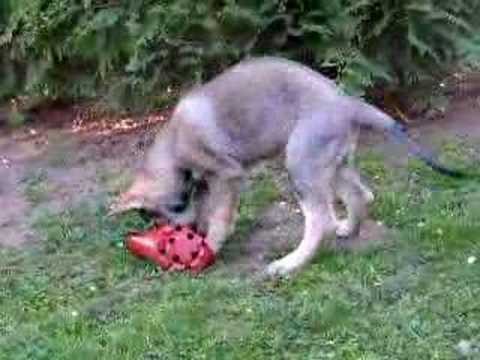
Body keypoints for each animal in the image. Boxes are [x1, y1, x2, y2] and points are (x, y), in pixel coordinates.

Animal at [109, 56, 462, 276]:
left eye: (172, 210)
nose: (188, 234)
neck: (172, 144)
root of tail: (347, 103)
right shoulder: (209, 181)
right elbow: (211, 207)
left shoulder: (226, 174)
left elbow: (220, 214)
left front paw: (209, 245)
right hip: (332, 164)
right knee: (361, 195)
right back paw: (349, 229)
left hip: (300, 163)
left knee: (321, 220)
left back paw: (290, 264)